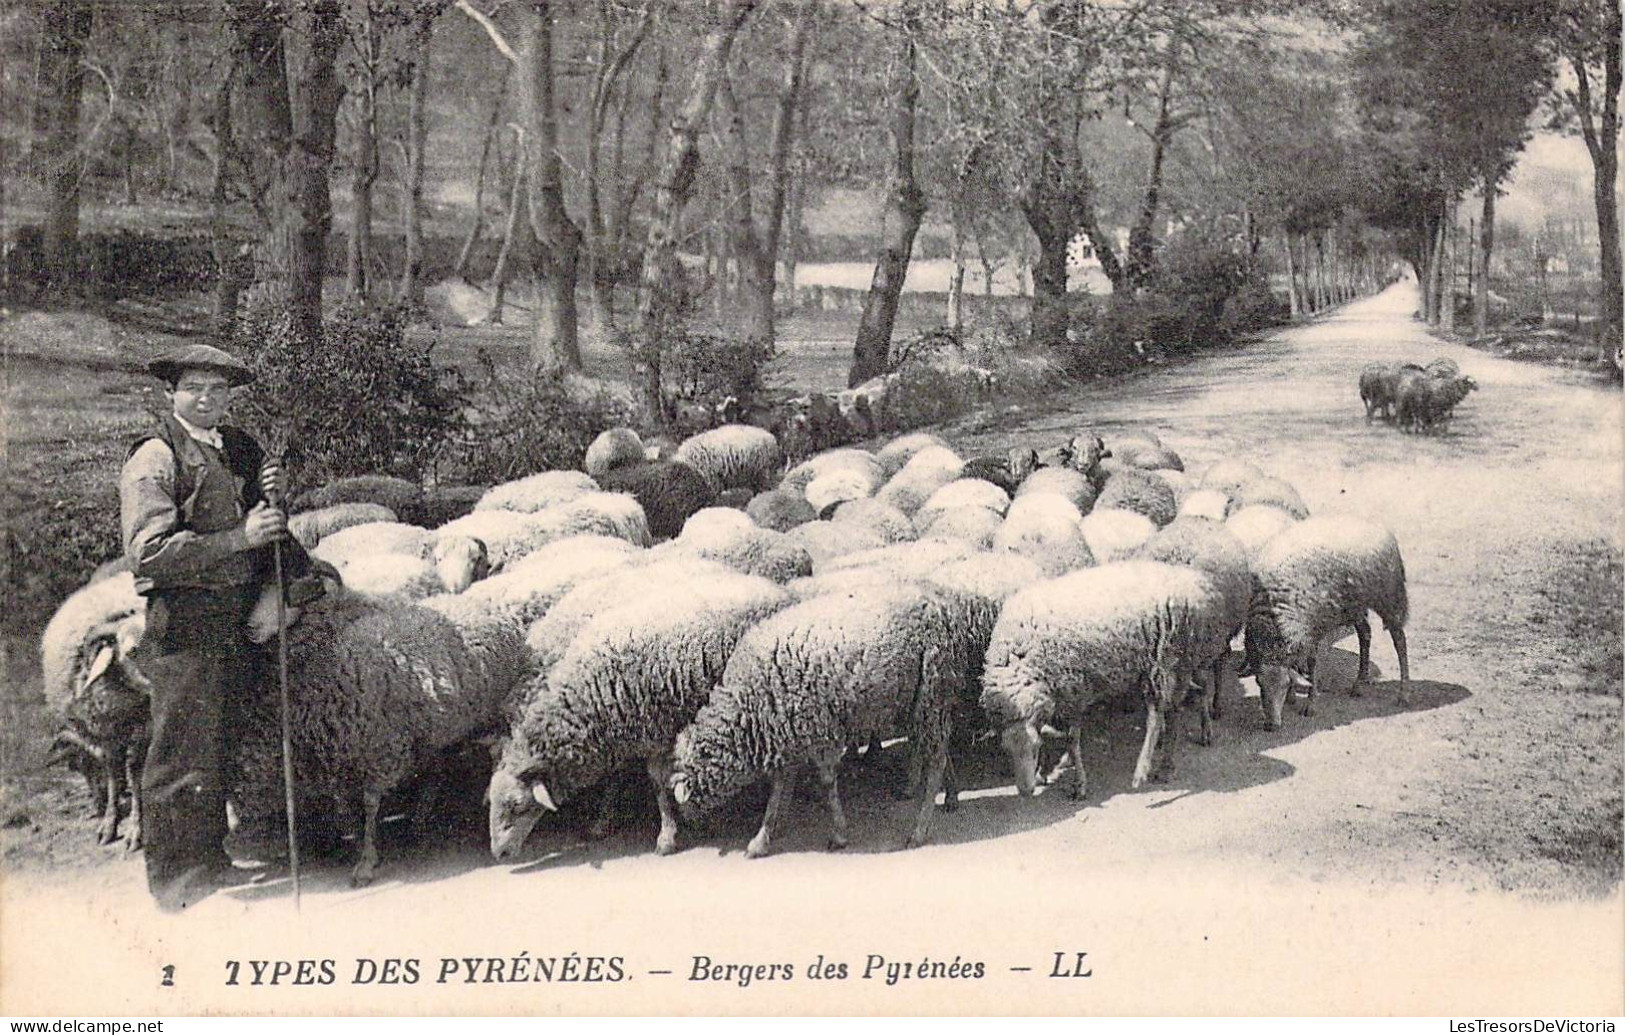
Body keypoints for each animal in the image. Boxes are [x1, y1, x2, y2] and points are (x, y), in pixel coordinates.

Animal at [484, 571, 789, 857]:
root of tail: (777, 590)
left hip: (766, 708)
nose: (499, 853)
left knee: (780, 773)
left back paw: (764, 833)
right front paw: (605, 822)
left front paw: (669, 834)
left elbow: (658, 782)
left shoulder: (656, 731)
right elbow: (637, 780)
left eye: (517, 806)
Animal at [663, 581, 968, 857]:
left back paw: (919, 830)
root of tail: (942, 609)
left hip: (931, 692)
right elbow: (779, 788)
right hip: (921, 702)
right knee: (942, 750)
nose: (693, 830)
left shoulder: (821, 731)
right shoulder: (787, 732)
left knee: (936, 761)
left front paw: (839, 834)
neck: (748, 708)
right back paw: (951, 797)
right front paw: (764, 836)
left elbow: (825, 783)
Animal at [975, 562, 1228, 796]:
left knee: (1162, 716)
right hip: (1177, 663)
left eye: (1035, 749)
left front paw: (1079, 784)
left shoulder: (1074, 691)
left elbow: (1072, 740)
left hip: (1166, 658)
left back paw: (1150, 770)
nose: (1025, 791)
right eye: (1006, 750)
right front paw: (1044, 773)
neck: (1021, 655)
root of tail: (1197, 584)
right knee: (1187, 698)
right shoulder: (1055, 694)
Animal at [1241, 510, 1410, 727]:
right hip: (1354, 604)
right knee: (1365, 634)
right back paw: (1359, 684)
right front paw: (1293, 698)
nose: (1271, 725)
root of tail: (1375, 525)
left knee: (1399, 641)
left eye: (1284, 684)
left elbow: (1312, 665)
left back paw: (1403, 693)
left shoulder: (1312, 630)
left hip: (1389, 597)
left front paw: (1310, 704)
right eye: (1258, 682)